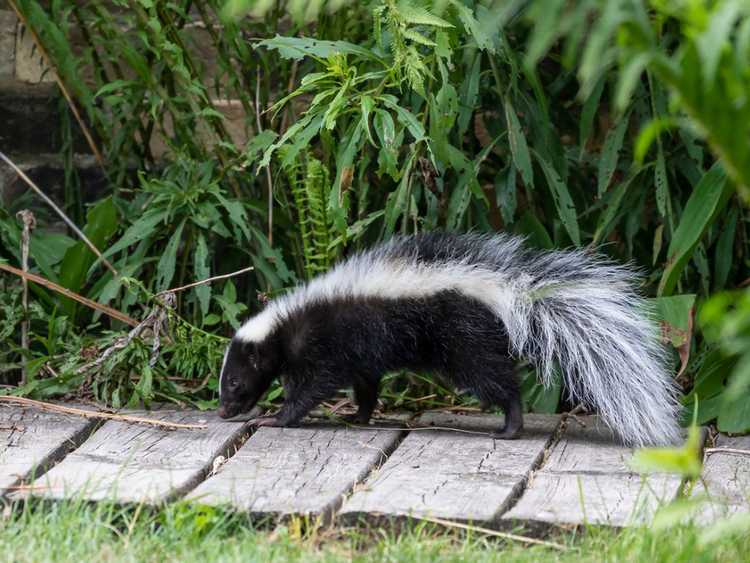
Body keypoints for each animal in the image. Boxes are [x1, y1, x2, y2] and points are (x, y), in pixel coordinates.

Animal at [216, 231, 680, 448]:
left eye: (235, 382)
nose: (223, 411)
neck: (285, 323)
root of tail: (505, 289)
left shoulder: (324, 343)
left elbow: (311, 387)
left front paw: (275, 418)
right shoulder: (357, 352)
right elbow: (366, 384)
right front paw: (360, 416)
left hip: (463, 342)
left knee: (500, 382)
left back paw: (510, 427)